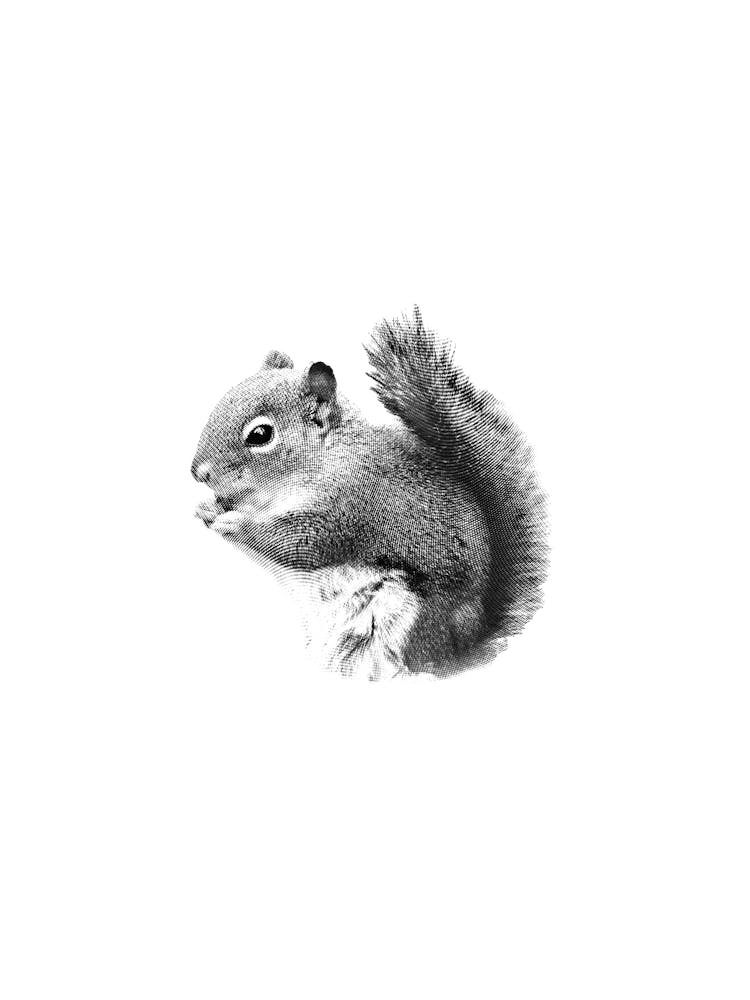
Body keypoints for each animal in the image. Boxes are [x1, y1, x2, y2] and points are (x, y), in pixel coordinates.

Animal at [191, 307, 547, 680]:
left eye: (260, 434)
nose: (197, 472)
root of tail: (467, 647)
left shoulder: (351, 503)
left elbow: (298, 543)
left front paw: (236, 524)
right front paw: (208, 507)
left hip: (406, 620)